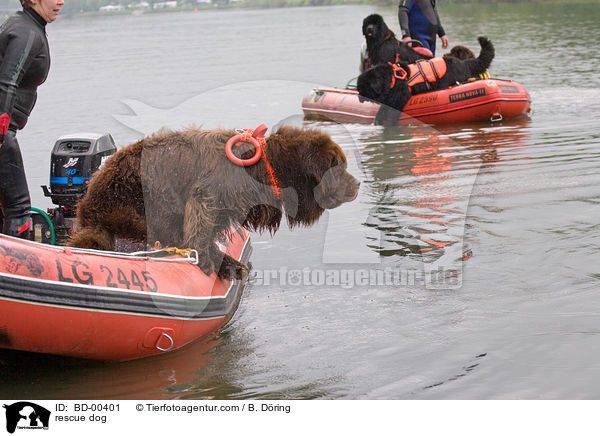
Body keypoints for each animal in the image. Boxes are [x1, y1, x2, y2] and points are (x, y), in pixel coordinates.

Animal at [68, 125, 364, 280]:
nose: (359, 184)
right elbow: (199, 228)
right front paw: (215, 263)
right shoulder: (208, 193)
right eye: (340, 168)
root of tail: (86, 209)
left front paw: (227, 262)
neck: (265, 168)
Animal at [358, 35, 494, 124]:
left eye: (364, 88)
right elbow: (383, 110)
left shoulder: (399, 97)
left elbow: (391, 113)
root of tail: (464, 63)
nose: (359, 96)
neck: (391, 78)